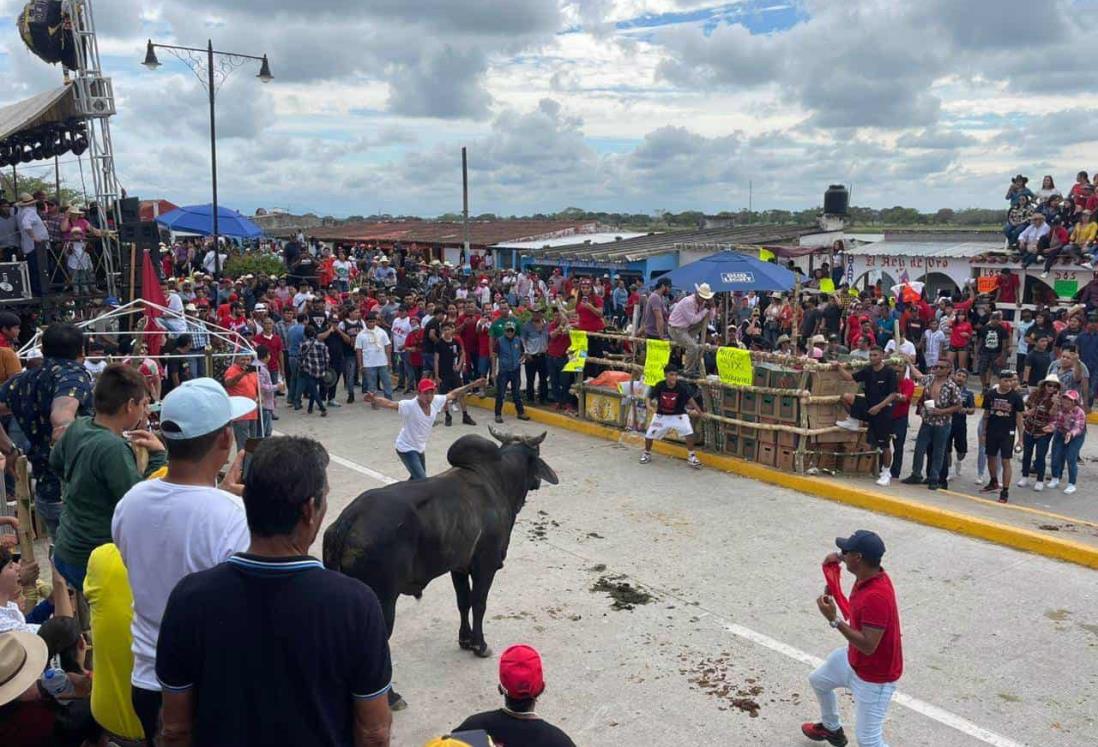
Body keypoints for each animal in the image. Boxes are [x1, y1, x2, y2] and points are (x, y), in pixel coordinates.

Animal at [320, 428, 557, 707]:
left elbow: (463, 602)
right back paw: (392, 697)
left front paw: (465, 640)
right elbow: (479, 603)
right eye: (537, 453)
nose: (538, 482)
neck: (498, 479)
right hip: (382, 602)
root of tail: (347, 521)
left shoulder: (458, 567)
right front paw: (480, 645)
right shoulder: (485, 565)